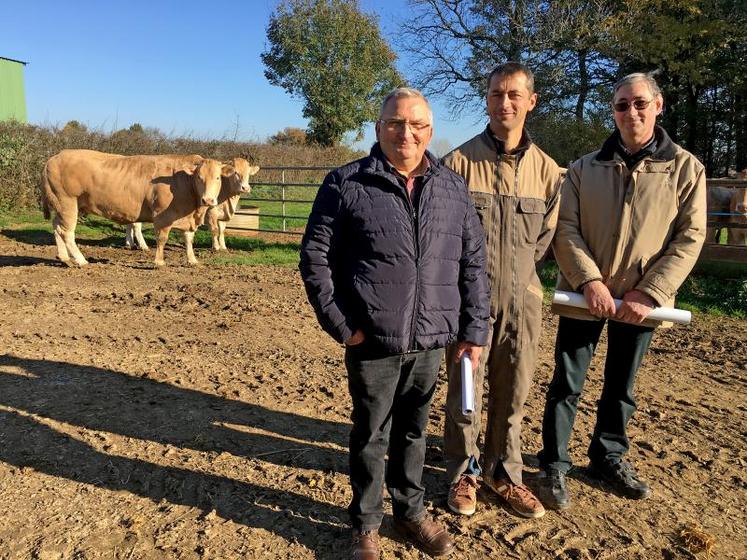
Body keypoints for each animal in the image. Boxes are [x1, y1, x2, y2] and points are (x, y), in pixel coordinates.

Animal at [41, 149, 222, 266]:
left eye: (218, 177)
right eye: (199, 177)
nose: (208, 200)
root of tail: (55, 157)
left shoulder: (187, 218)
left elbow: (188, 240)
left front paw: (192, 260)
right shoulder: (162, 216)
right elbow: (162, 238)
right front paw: (159, 262)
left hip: (63, 205)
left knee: (57, 227)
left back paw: (64, 257)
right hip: (67, 202)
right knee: (66, 232)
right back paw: (81, 260)